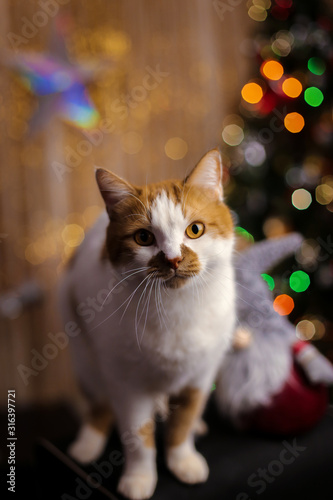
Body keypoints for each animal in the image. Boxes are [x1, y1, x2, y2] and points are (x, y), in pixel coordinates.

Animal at [59, 148, 236, 500]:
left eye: (195, 230)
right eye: (144, 237)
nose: (173, 259)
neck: (177, 309)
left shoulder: (200, 376)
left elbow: (183, 422)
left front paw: (183, 460)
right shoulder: (127, 385)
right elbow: (138, 436)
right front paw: (140, 478)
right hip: (85, 360)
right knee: (98, 404)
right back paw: (88, 443)